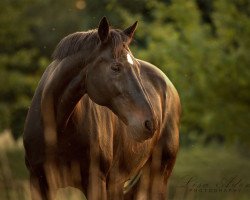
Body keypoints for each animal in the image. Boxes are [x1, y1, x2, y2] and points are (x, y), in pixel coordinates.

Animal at [22, 17, 181, 200]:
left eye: (137, 68)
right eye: (115, 67)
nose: (150, 123)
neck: (56, 126)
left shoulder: (95, 181)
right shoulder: (39, 182)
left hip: (158, 176)